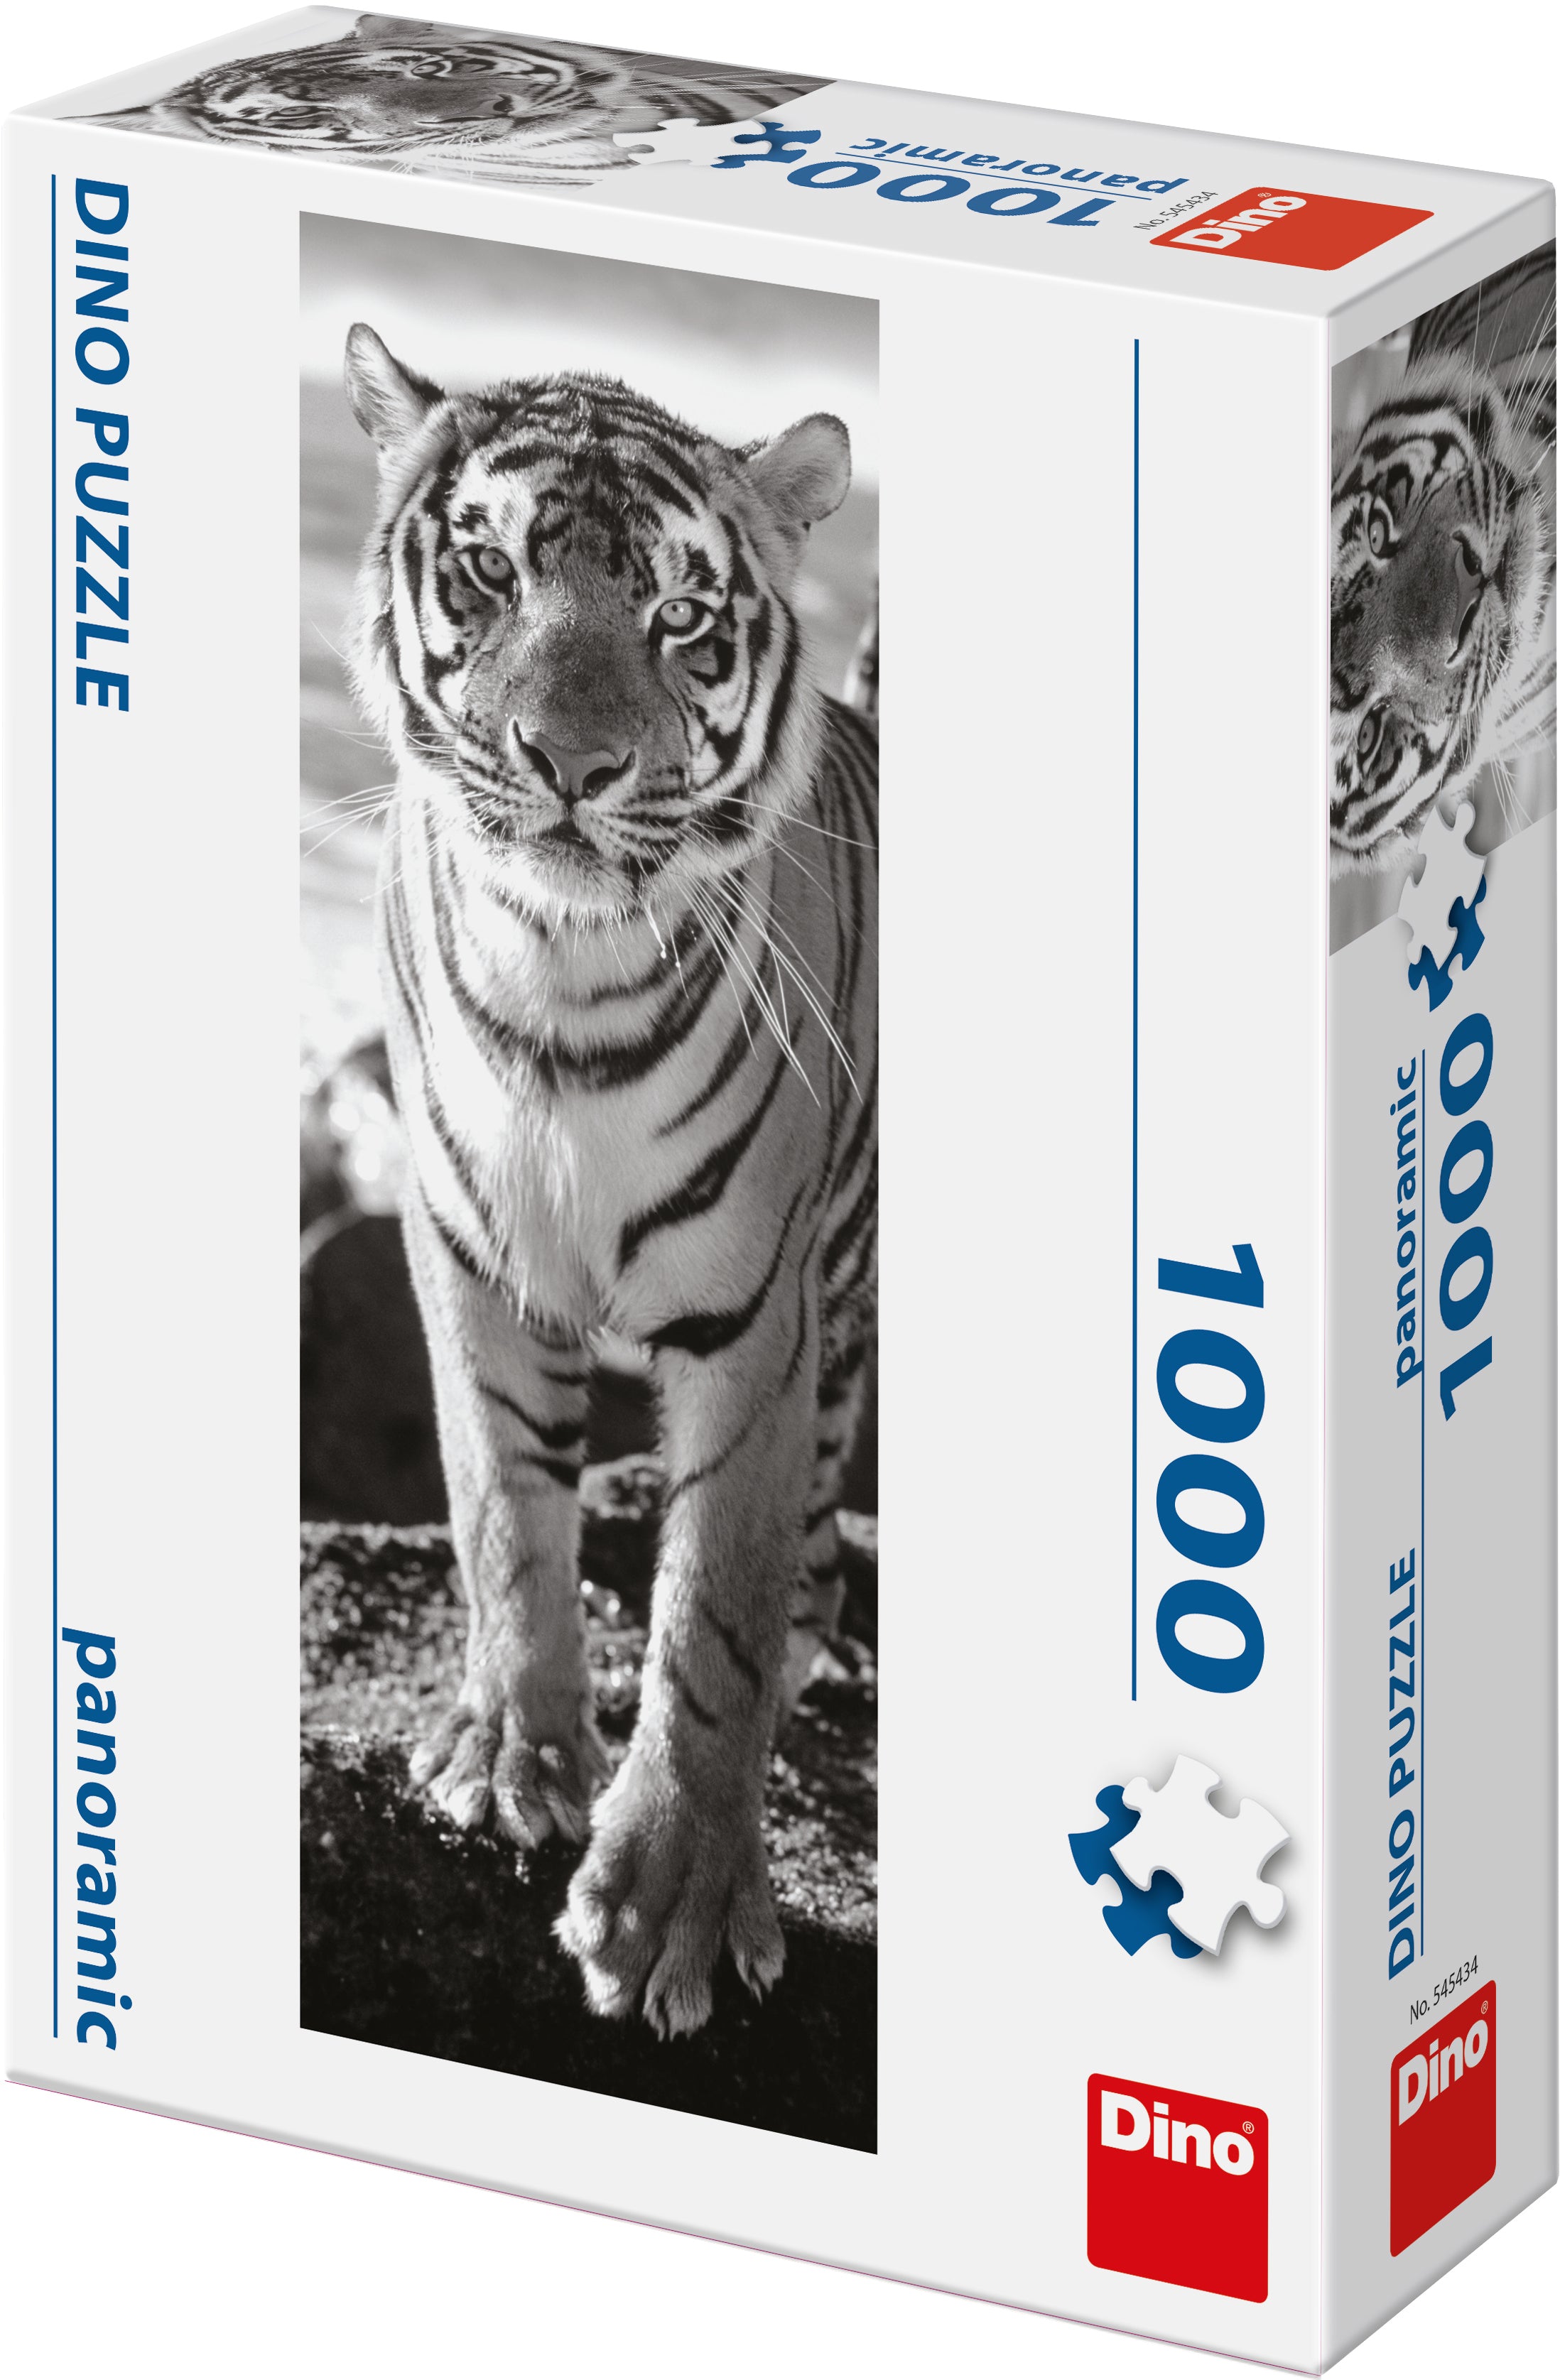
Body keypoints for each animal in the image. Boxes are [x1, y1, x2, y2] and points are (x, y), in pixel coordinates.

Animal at [341, 322, 878, 2037]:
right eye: (489, 570)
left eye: (681, 620)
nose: (571, 763)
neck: (558, 981)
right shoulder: (461, 1257)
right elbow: (504, 1514)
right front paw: (514, 1757)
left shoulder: (753, 1318)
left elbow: (713, 1613)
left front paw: (673, 1903)